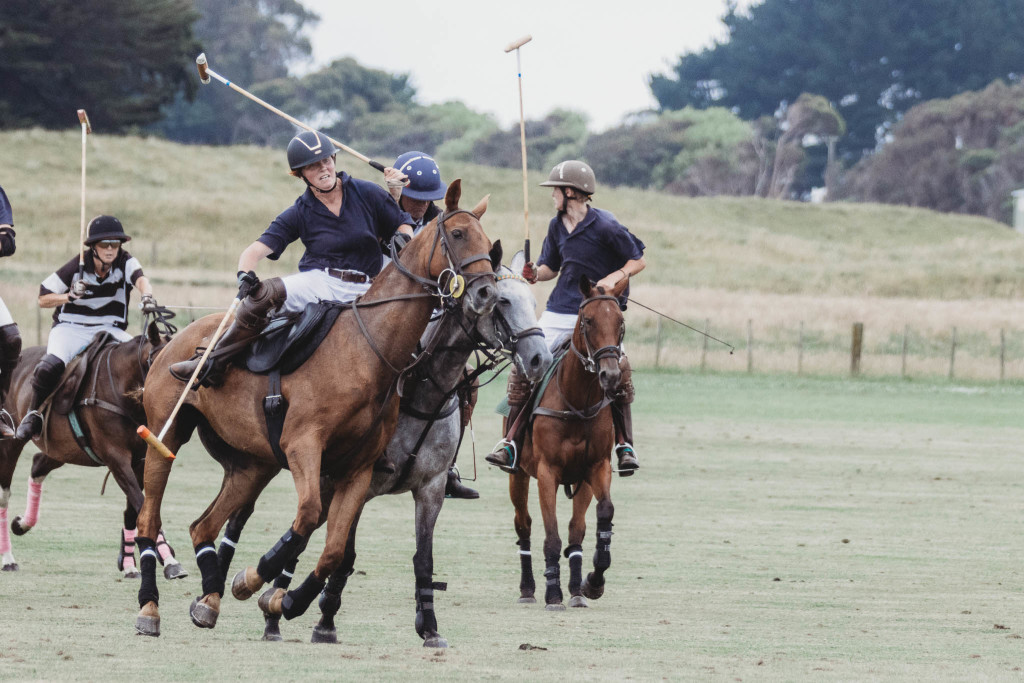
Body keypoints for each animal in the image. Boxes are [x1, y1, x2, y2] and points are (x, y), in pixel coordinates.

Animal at [0, 313, 187, 580]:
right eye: (159, 362)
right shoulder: (116, 458)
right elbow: (141, 504)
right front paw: (169, 559)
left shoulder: (140, 459)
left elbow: (135, 508)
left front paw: (130, 562)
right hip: (12, 442)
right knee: (5, 494)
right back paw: (8, 558)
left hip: (62, 448)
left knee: (37, 465)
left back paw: (23, 523)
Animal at [133, 179, 500, 637]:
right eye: (458, 234)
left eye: (489, 241)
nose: (487, 293)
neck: (368, 350)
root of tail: (175, 340)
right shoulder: (304, 445)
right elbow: (306, 518)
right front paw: (255, 581)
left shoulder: (359, 469)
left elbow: (334, 550)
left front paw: (279, 598)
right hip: (166, 433)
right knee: (148, 519)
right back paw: (150, 609)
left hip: (251, 464)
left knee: (204, 524)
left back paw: (208, 601)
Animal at [216, 250, 553, 646]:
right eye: (502, 301)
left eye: (534, 303)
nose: (540, 359)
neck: (423, 388)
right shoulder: (360, 483)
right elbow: (344, 554)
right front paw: (323, 621)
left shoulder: (431, 488)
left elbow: (423, 559)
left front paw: (430, 626)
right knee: (262, 521)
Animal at [507, 275, 628, 610]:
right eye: (588, 321)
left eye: (620, 321)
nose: (610, 375)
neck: (577, 401)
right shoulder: (547, 471)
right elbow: (552, 536)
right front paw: (553, 593)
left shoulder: (594, 468)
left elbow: (594, 520)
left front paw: (588, 584)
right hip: (518, 475)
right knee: (523, 524)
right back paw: (528, 589)